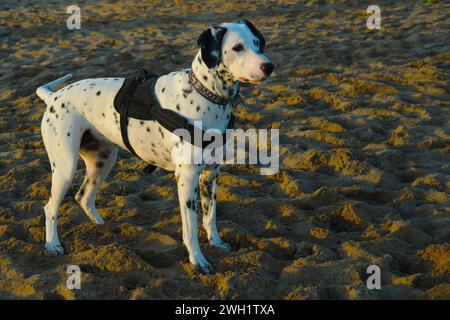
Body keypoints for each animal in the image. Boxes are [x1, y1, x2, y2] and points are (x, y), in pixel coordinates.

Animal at [36, 19, 274, 272]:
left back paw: (103, 226)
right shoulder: (187, 177)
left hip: (103, 160)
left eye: (257, 43)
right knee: (51, 207)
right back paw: (53, 244)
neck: (204, 94)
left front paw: (216, 242)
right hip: (65, 166)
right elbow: (191, 227)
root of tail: (53, 97)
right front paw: (198, 260)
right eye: (237, 47)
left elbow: (210, 216)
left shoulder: (211, 173)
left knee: (84, 196)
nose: (269, 66)